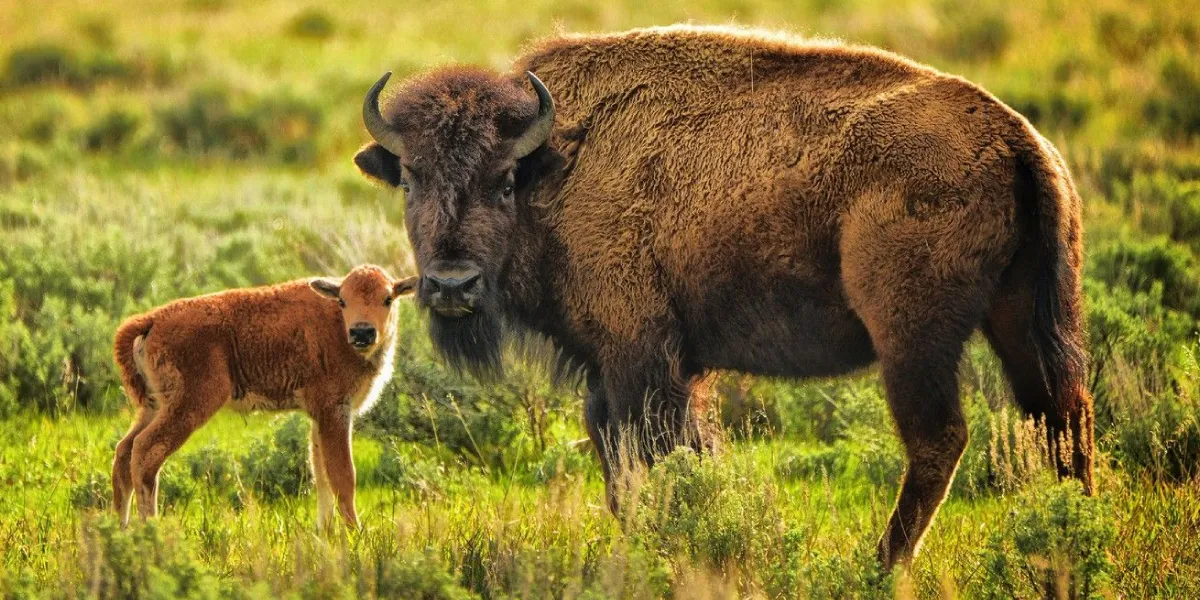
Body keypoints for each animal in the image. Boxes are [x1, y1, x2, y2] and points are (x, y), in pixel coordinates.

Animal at [112, 265, 420, 528]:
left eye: (388, 299)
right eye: (343, 301)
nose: (362, 332)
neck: (337, 326)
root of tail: (152, 320)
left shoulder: (319, 417)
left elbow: (320, 473)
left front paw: (325, 531)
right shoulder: (335, 411)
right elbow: (343, 475)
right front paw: (354, 533)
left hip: (155, 405)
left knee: (124, 451)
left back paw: (121, 527)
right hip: (190, 406)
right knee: (145, 451)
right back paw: (150, 527)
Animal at [350, 24, 1094, 566]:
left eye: (504, 179)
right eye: (409, 178)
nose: (452, 284)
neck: (560, 164)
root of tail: (1016, 136)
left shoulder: (643, 356)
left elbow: (659, 451)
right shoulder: (616, 367)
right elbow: (621, 459)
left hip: (912, 337)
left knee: (940, 439)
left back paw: (881, 564)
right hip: (1025, 321)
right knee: (1062, 420)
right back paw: (1074, 536)